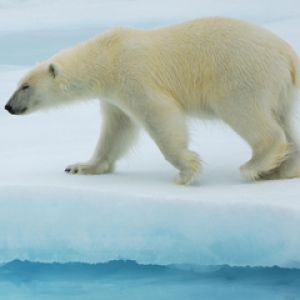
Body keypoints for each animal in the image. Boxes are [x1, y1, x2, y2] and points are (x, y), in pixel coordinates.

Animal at [4, 17, 300, 184]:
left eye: (25, 86)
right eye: (17, 84)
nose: (8, 107)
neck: (107, 56)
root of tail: (287, 54)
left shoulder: (133, 75)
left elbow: (159, 115)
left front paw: (186, 171)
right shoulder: (114, 95)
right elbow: (116, 129)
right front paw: (80, 167)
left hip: (240, 75)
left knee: (247, 114)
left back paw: (255, 165)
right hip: (280, 88)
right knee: (284, 121)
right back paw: (280, 170)